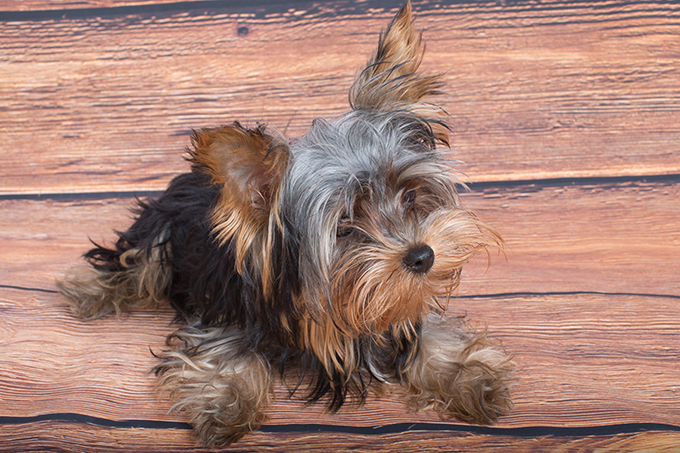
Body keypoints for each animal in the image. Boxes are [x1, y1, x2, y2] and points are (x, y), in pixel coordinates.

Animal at [58, 1, 512, 444]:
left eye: (411, 195)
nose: (422, 256)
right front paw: (225, 402)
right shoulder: (230, 311)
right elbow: (226, 351)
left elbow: (427, 333)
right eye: (345, 224)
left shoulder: (401, 308)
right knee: (133, 261)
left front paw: (469, 376)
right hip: (163, 224)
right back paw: (90, 291)